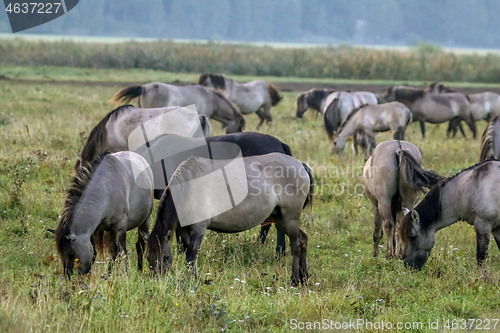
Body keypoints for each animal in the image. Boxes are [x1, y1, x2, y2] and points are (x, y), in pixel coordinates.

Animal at [145, 153, 314, 286]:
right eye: (148, 258)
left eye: (166, 257)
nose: (157, 282)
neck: (190, 187)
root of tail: (300, 164)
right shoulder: (185, 230)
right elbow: (188, 255)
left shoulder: (199, 228)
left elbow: (192, 255)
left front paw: (195, 281)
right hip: (280, 219)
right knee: (303, 239)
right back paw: (304, 278)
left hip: (290, 218)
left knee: (295, 246)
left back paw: (294, 280)